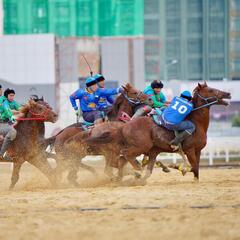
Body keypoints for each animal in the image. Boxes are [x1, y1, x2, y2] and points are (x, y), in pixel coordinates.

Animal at [86, 83, 231, 182]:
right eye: (211, 90)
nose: (228, 93)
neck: (196, 122)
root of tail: (124, 126)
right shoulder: (189, 150)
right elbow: (193, 167)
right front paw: (178, 167)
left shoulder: (198, 150)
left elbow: (197, 168)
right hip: (140, 146)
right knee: (124, 156)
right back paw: (136, 171)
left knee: (120, 161)